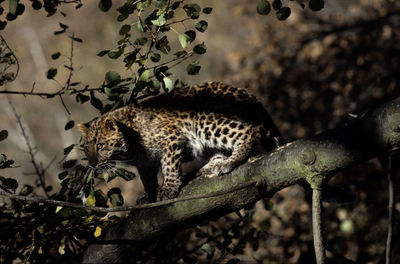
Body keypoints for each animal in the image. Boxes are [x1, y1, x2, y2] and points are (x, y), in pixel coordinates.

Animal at [78, 81, 282, 201]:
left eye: (101, 146)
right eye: (87, 149)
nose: (92, 164)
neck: (130, 146)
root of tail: (246, 94)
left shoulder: (171, 139)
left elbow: (168, 166)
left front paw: (168, 188)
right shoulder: (145, 163)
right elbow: (148, 180)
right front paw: (150, 196)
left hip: (205, 119)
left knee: (249, 131)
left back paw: (229, 162)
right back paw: (208, 167)